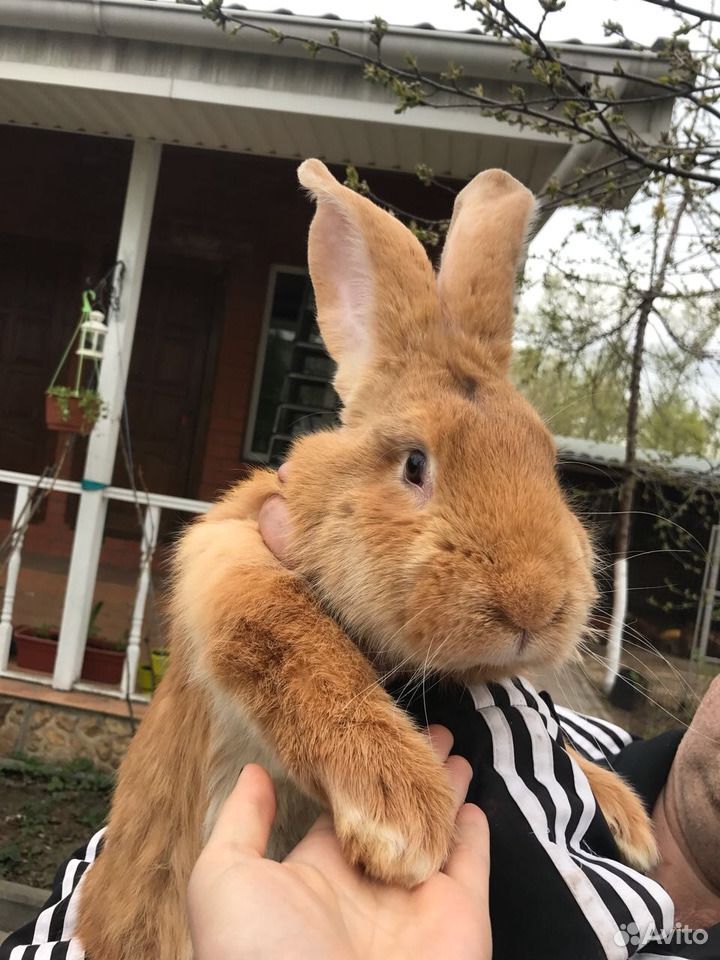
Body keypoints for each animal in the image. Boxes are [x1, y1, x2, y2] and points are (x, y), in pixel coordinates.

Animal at [74, 161, 660, 960]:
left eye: (549, 465)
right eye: (415, 463)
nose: (533, 606)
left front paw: (625, 816)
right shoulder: (229, 557)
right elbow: (297, 643)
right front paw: (404, 816)